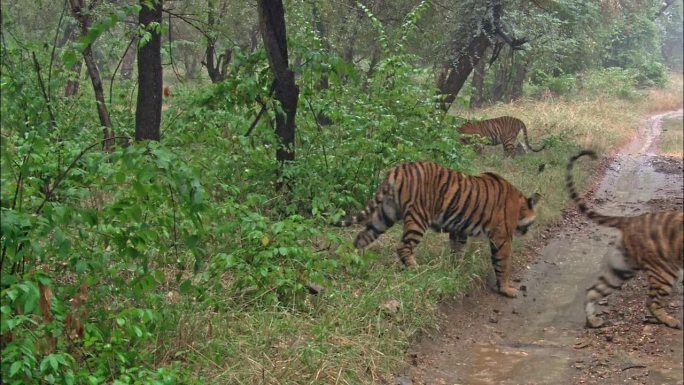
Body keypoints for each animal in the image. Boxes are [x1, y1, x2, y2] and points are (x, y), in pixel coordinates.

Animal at [336, 159, 540, 296]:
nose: (528, 231)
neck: (520, 204)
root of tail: (397, 169)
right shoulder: (502, 237)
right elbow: (503, 263)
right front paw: (507, 289)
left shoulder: (459, 230)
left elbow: (458, 251)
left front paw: (455, 271)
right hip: (418, 218)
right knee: (403, 247)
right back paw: (416, 269)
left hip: (385, 215)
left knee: (361, 237)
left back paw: (353, 260)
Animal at [568, 149, 684, 328]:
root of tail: (631, 220)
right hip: (665, 271)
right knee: (651, 302)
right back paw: (670, 321)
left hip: (622, 268)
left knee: (593, 291)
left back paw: (593, 321)